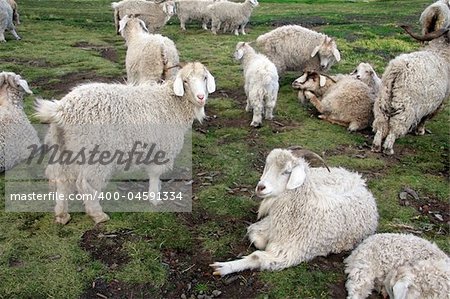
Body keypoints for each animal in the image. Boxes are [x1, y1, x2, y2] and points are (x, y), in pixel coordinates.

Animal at [33, 61, 216, 225]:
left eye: (205, 78)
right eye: (185, 81)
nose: (201, 97)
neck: (172, 102)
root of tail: (62, 109)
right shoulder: (162, 147)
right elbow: (155, 174)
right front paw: (155, 198)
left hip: (64, 148)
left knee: (62, 179)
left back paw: (62, 215)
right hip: (93, 153)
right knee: (86, 183)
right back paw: (97, 214)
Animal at [209, 147, 378, 276]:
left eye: (286, 172)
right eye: (268, 166)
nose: (260, 187)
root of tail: (356, 177)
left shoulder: (288, 253)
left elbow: (256, 256)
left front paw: (224, 267)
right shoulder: (265, 226)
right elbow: (256, 239)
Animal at [370, 25, 450, 155]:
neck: (442, 52)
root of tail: (398, 69)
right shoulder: (436, 104)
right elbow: (425, 118)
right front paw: (420, 131)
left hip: (383, 99)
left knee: (381, 123)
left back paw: (376, 146)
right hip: (405, 106)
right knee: (395, 126)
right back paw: (388, 148)